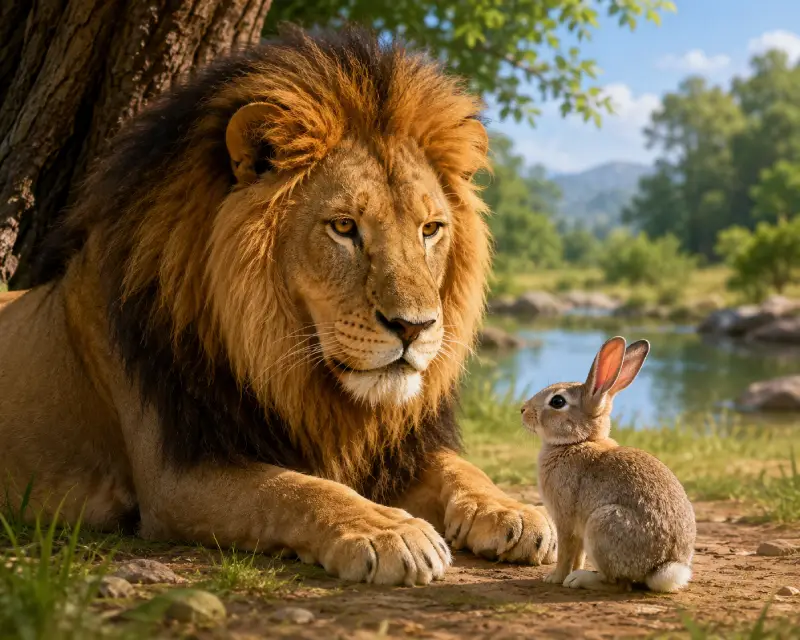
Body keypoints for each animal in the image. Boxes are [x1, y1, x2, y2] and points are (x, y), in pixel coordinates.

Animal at [521, 336, 696, 593]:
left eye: (557, 401)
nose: (523, 410)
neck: (578, 441)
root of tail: (662, 567)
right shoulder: (579, 530)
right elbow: (578, 555)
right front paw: (565, 574)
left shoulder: (565, 520)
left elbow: (565, 552)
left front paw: (555, 578)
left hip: (602, 525)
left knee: (618, 584)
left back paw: (580, 579)